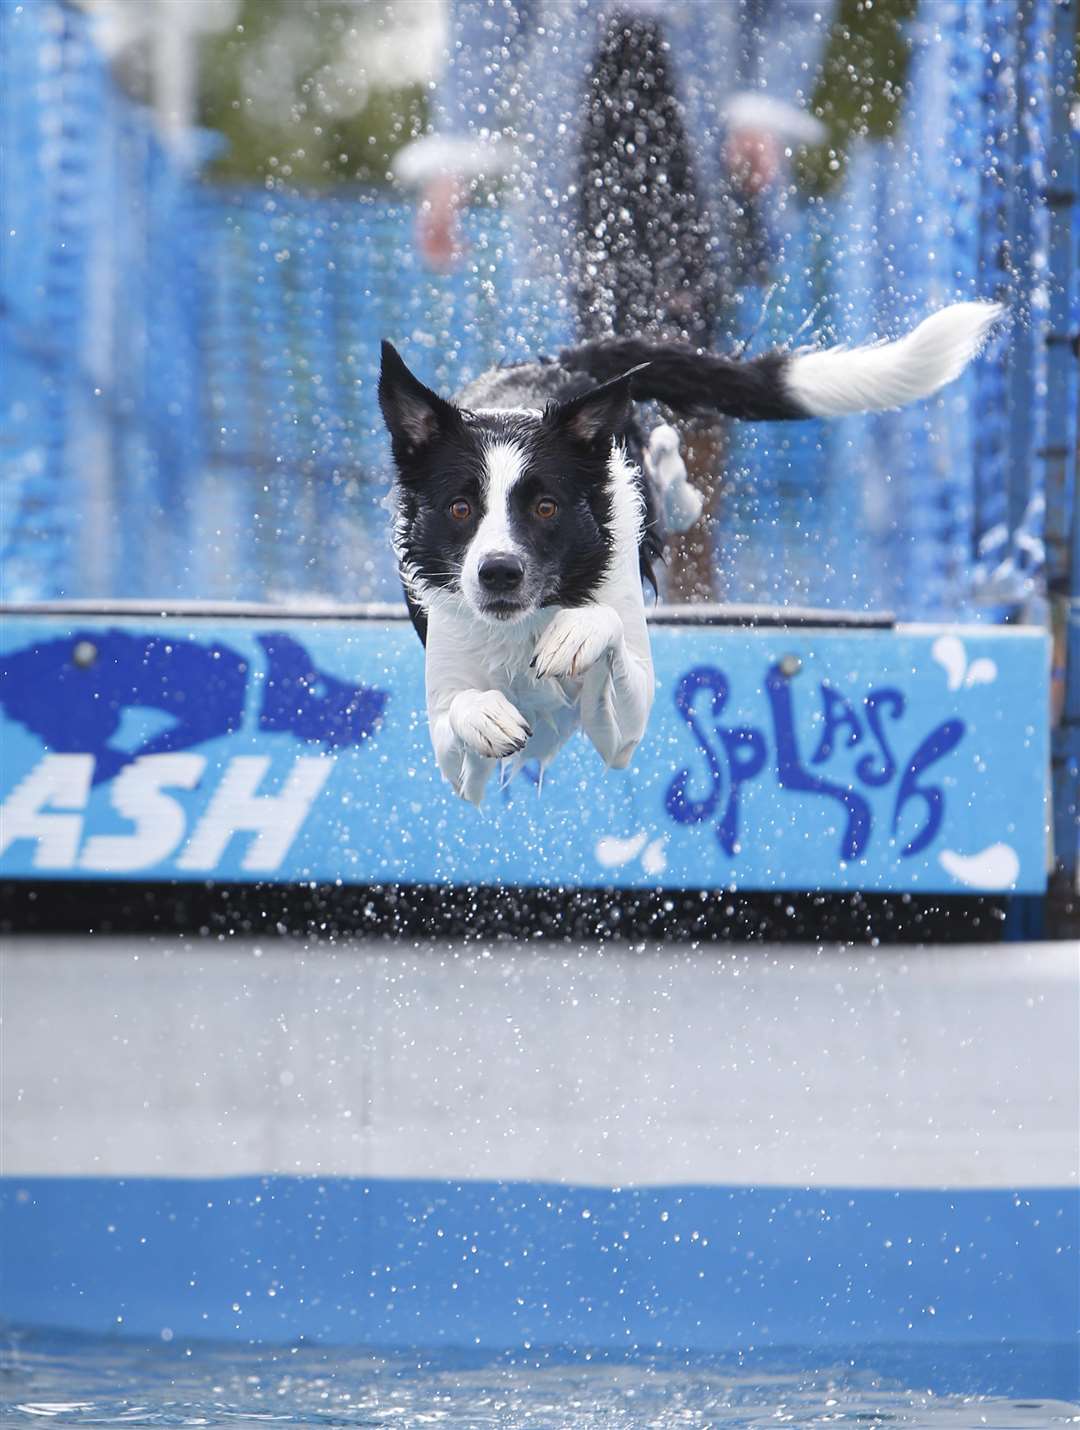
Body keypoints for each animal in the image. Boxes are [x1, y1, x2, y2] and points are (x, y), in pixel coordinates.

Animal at [383, 298, 1007, 806]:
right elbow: (460, 713)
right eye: (460, 508)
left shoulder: (623, 728)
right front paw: (486, 710)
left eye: (545, 507)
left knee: (667, 491)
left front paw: (577, 631)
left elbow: (609, 630)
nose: (499, 573)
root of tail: (554, 366)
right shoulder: (458, 763)